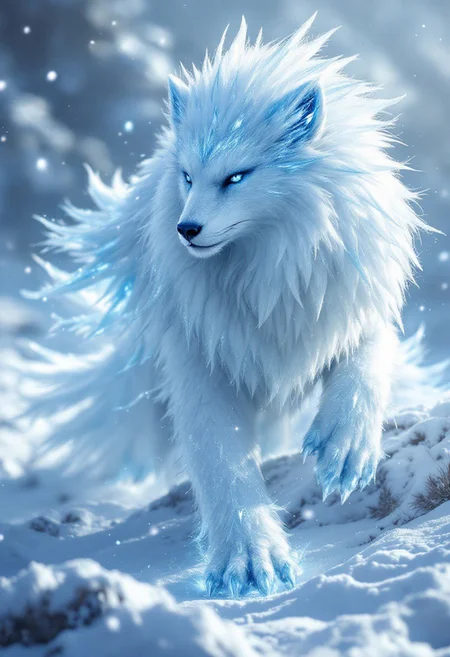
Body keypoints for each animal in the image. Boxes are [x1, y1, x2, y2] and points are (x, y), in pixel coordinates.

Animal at [22, 15, 440, 598]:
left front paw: (344, 452)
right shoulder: (201, 357)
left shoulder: (353, 306)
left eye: (237, 176)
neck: (272, 279)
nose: (186, 229)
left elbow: (366, 367)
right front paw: (249, 562)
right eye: (188, 177)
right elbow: (221, 461)